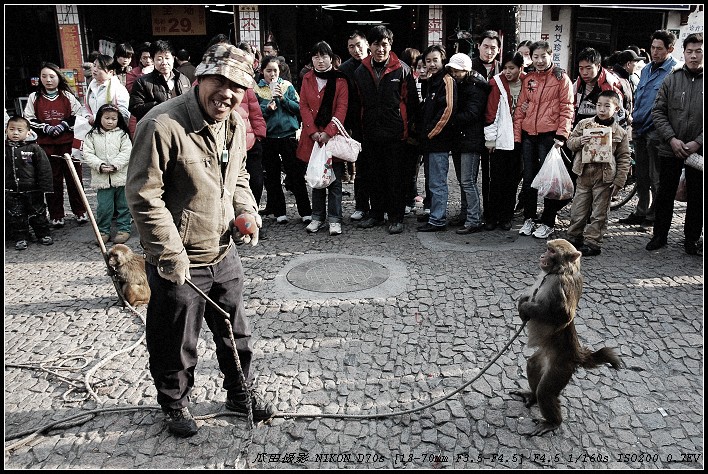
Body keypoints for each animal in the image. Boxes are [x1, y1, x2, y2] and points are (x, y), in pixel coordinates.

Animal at [512, 239, 624, 436]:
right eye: (547, 248)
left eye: (552, 251)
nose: (542, 255)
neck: (556, 272)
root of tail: (576, 354)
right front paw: (522, 302)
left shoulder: (561, 285)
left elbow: (563, 316)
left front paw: (525, 308)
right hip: (546, 357)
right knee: (533, 365)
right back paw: (532, 395)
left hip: (561, 367)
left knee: (546, 392)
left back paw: (553, 422)